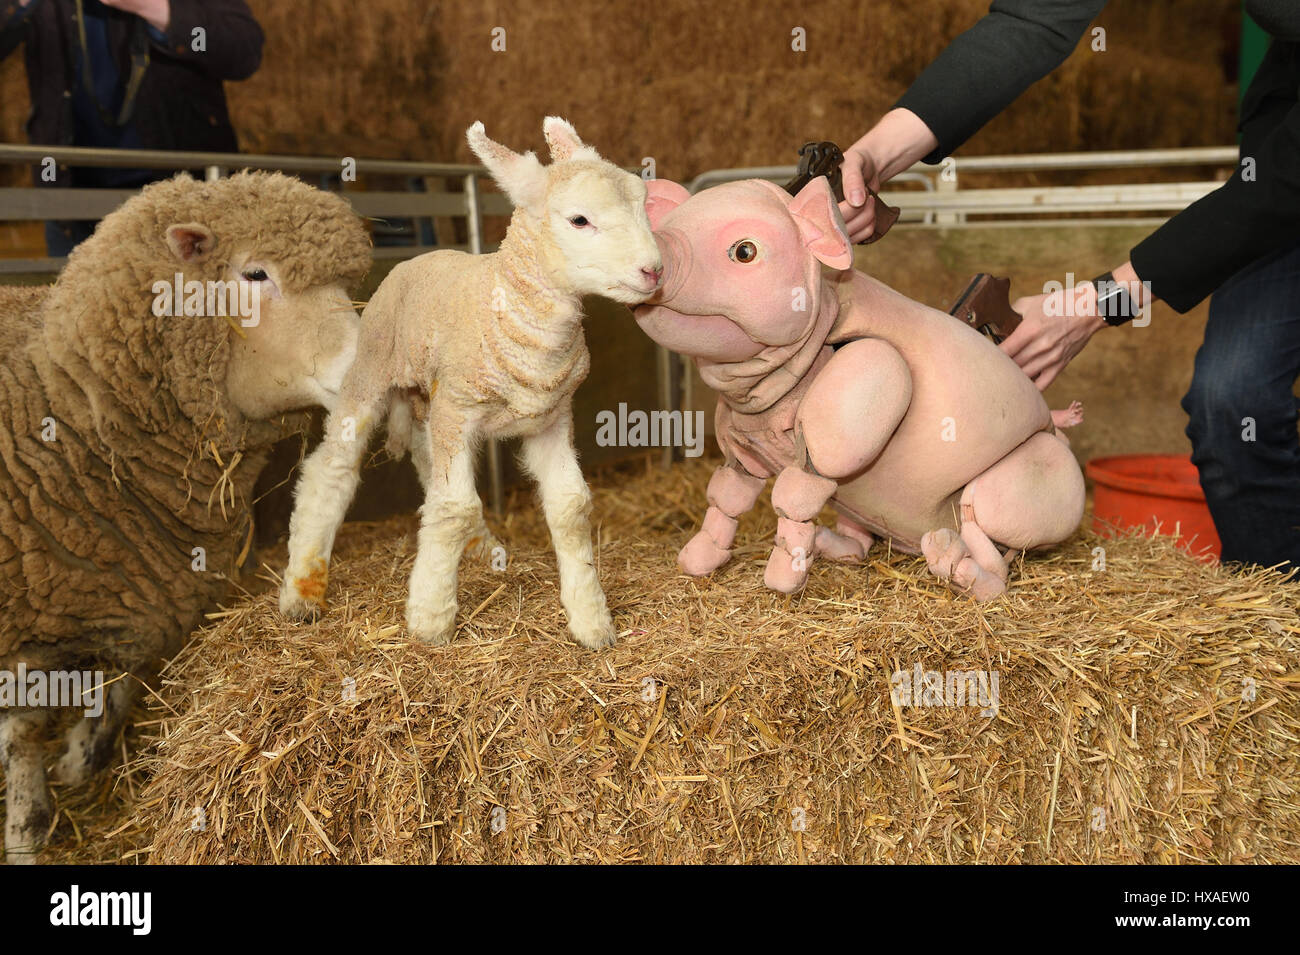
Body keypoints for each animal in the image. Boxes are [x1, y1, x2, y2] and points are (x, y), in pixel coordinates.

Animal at [1, 167, 377, 862]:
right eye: (255, 274)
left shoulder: (140, 600)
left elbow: (113, 696)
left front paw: (78, 761)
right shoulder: (24, 634)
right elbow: (25, 752)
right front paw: (25, 835)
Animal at [275, 113, 660, 649]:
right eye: (580, 220)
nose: (654, 271)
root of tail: (418, 259)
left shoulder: (550, 417)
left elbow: (569, 506)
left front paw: (591, 620)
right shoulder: (459, 410)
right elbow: (453, 505)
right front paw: (430, 620)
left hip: (429, 403)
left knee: (427, 466)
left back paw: (478, 549)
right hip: (373, 373)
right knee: (331, 470)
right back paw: (303, 591)